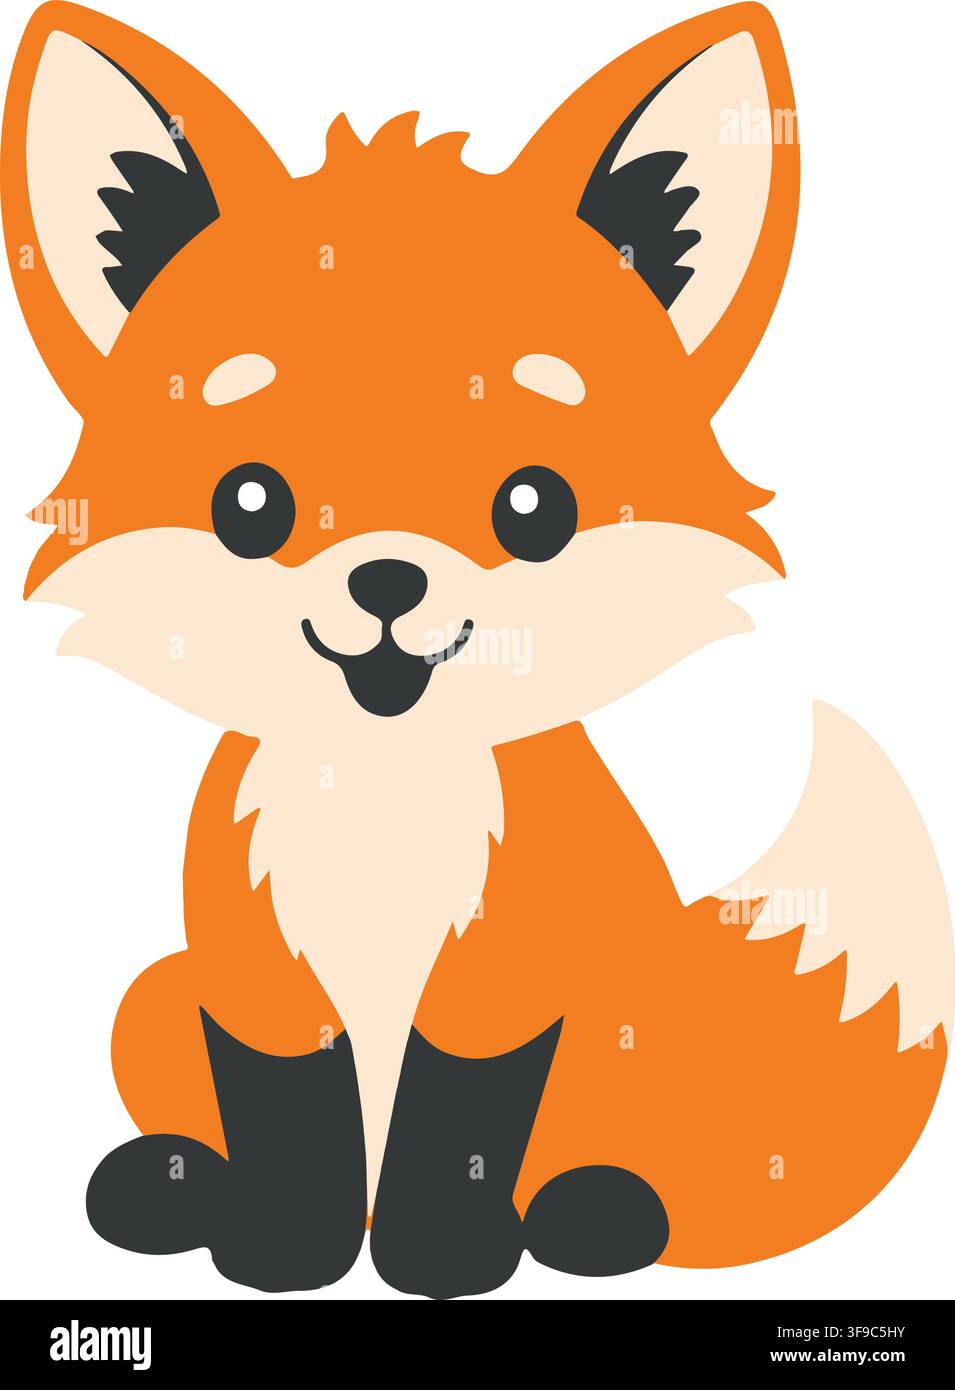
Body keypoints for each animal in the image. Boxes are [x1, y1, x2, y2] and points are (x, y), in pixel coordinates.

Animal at [2, 0, 952, 1299]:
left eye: (533, 505)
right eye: (250, 502)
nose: (387, 580)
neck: (379, 803)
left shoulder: (508, 971)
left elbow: (460, 1118)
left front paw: (438, 1257)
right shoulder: (256, 974)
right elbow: (287, 1109)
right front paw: (288, 1248)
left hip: (623, 1022)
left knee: (632, 1166)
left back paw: (595, 1209)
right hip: (155, 991)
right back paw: (168, 1184)